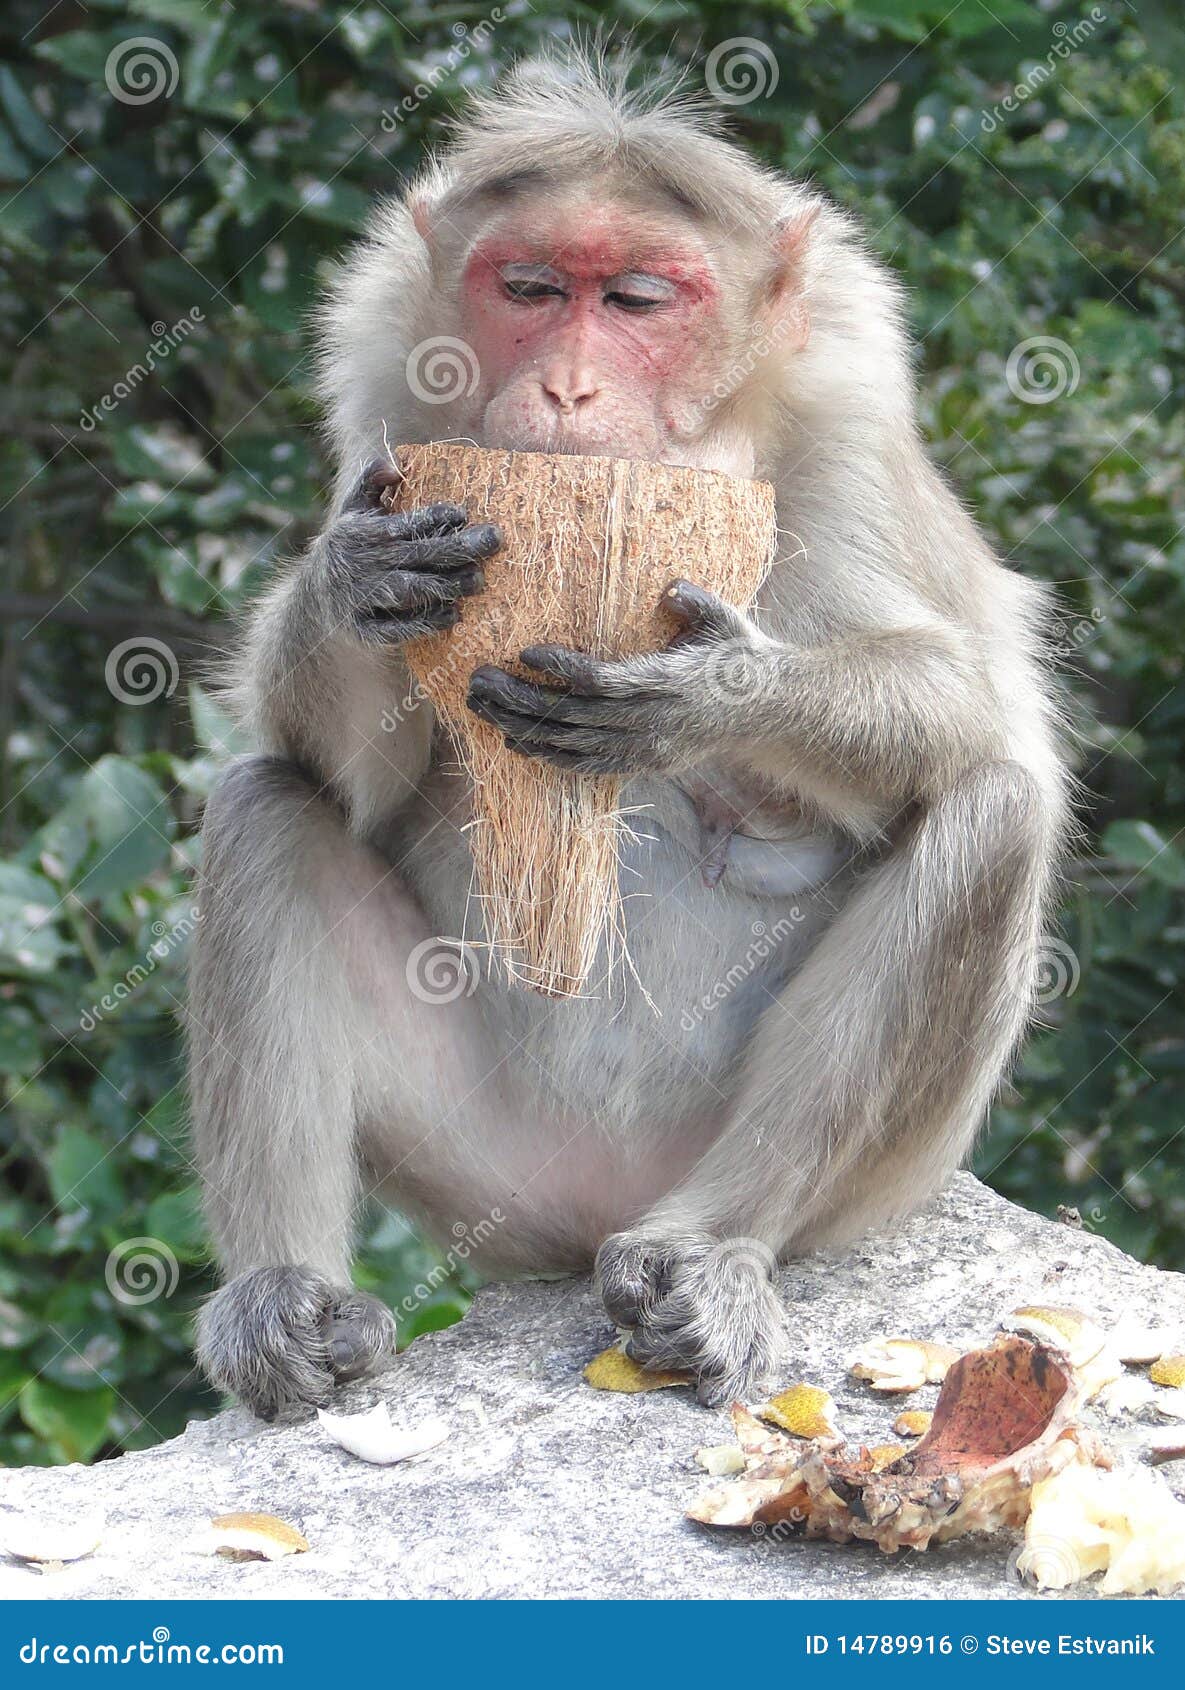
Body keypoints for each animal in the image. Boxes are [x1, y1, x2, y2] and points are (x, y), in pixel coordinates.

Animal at [190, 57, 1068, 1419]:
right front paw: (353, 581)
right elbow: (348, 768)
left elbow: (971, 701)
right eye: (532, 289)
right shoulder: (388, 418)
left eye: (642, 299)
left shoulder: (853, 432)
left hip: (822, 1184)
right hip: (485, 1159)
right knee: (265, 804)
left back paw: (706, 1252)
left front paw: (710, 696)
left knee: (991, 814)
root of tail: (597, 1206)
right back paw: (289, 1299)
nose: (566, 388)